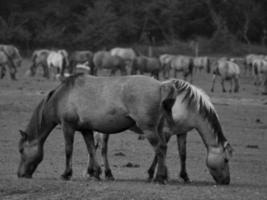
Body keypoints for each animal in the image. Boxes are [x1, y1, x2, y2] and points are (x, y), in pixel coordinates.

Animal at [17, 74, 233, 185]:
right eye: (226, 160)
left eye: (20, 150)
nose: (20, 174)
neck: (65, 94)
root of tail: (161, 86)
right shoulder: (85, 129)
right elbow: (90, 149)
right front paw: (94, 173)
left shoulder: (68, 127)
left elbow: (69, 150)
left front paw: (66, 174)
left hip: (150, 129)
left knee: (160, 149)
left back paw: (159, 178)